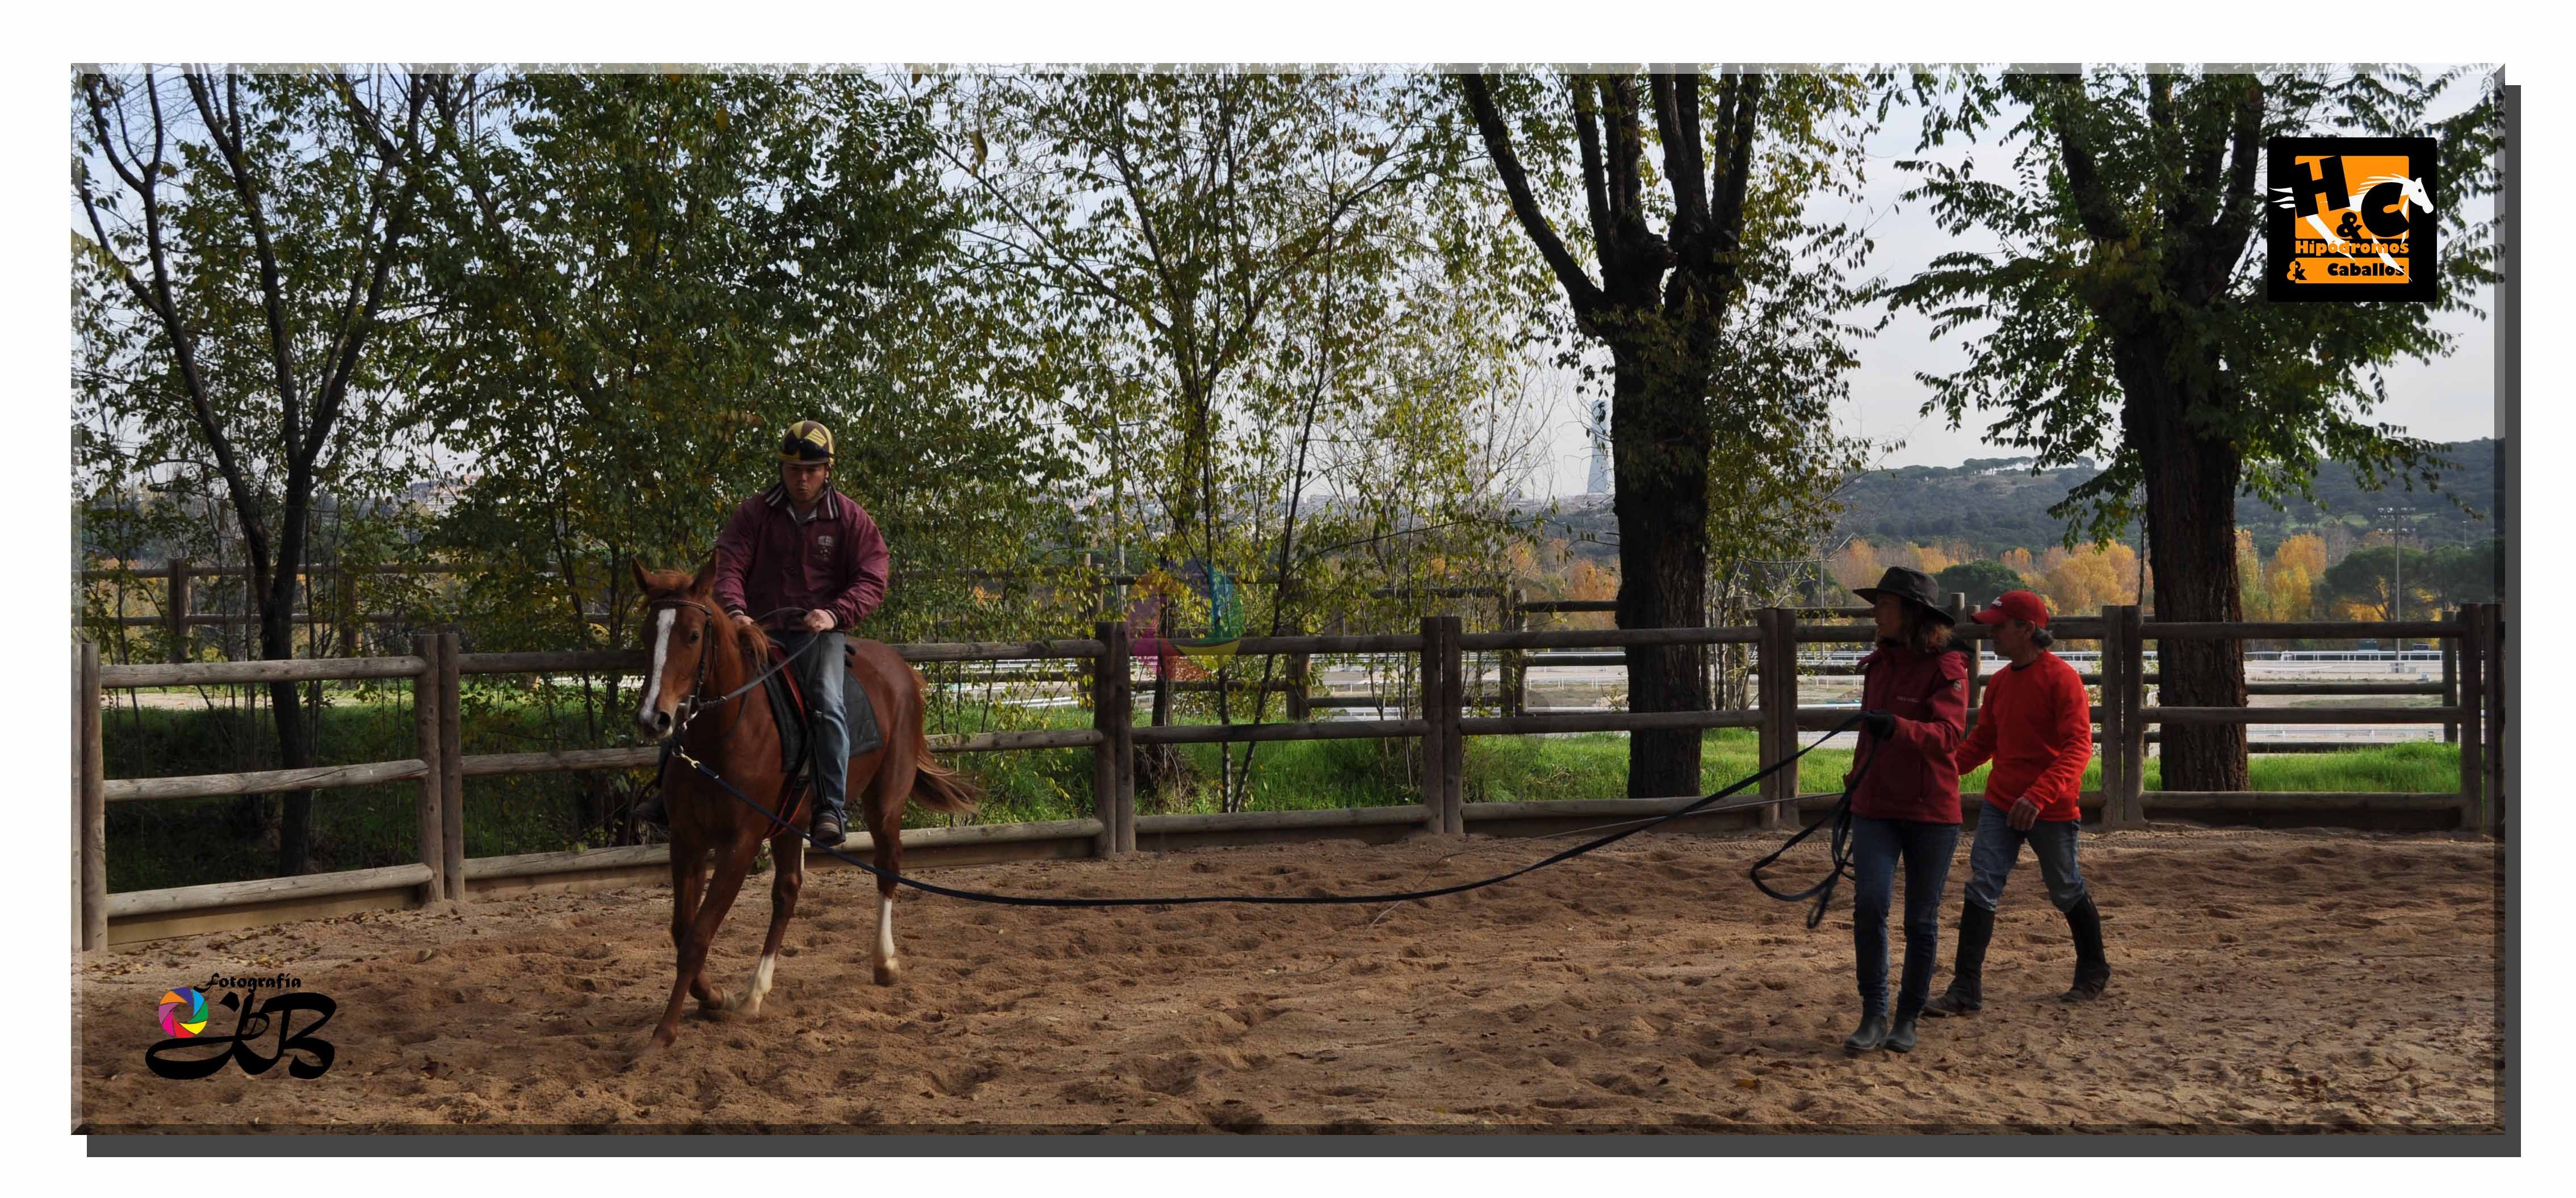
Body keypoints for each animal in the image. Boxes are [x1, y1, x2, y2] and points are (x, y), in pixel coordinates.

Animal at [628, 559, 979, 1046]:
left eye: (693, 636)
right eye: (647, 634)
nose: (653, 718)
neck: (724, 734)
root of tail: (902, 670)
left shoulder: (739, 845)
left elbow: (698, 936)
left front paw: (663, 1033)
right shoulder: (687, 840)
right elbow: (683, 929)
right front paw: (714, 996)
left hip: (884, 803)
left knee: (887, 867)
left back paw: (884, 963)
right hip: (790, 822)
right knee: (788, 893)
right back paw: (755, 992)